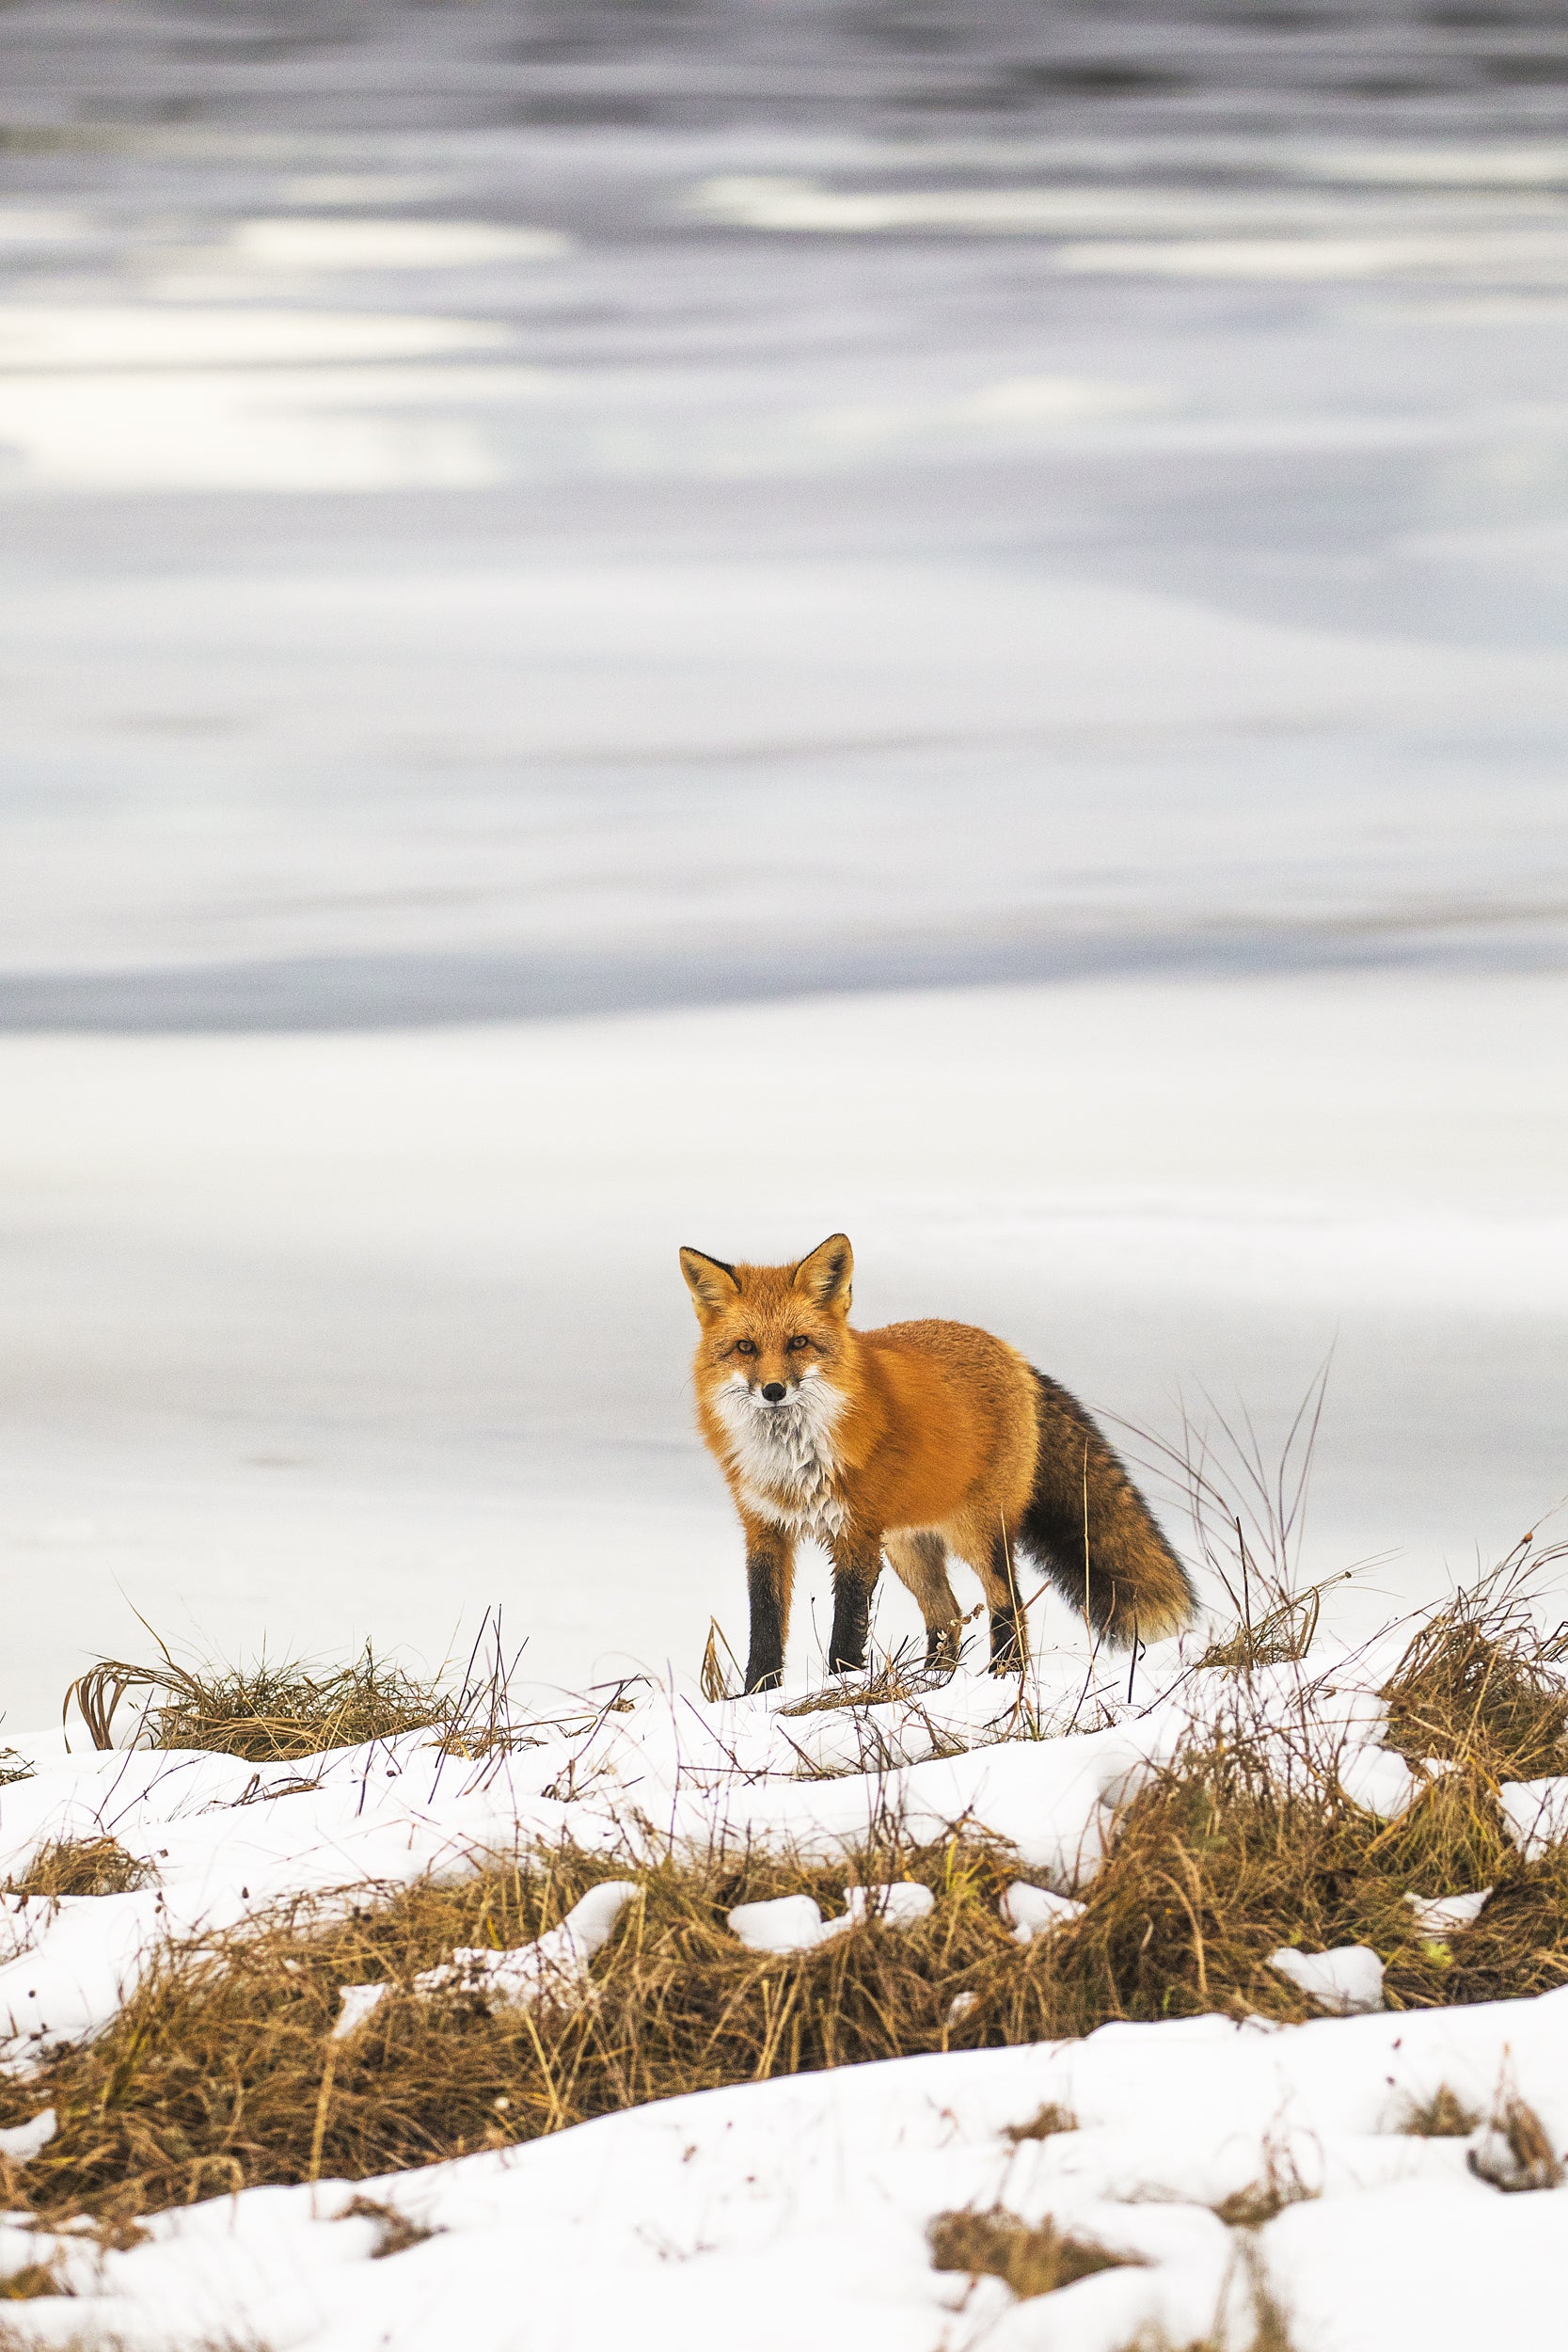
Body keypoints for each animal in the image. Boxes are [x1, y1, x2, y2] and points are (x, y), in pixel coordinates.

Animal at [680, 1232, 1196, 1695]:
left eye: (799, 1343)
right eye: (745, 1347)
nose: (773, 1391)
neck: (792, 1462)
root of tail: (1012, 1353)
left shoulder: (856, 1535)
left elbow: (846, 1630)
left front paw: (841, 1689)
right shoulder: (765, 1529)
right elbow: (765, 1627)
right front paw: (757, 1697)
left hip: (976, 1531)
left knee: (1008, 1603)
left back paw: (1001, 1678)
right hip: (907, 1547)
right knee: (947, 1615)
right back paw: (932, 1683)